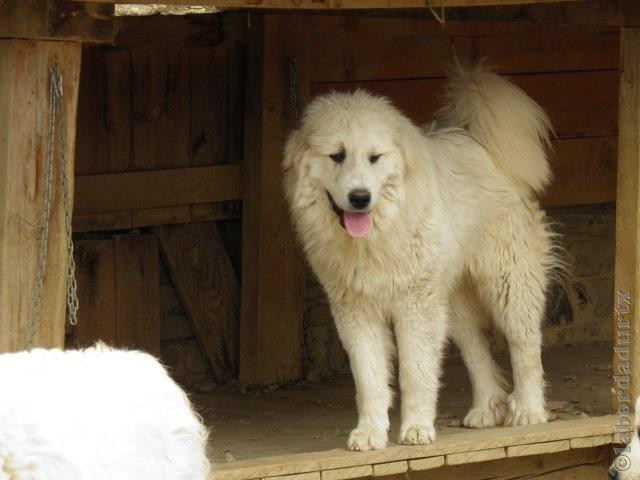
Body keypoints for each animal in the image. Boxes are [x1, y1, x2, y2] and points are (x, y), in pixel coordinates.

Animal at [284, 65, 560, 452]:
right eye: (337, 156)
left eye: (374, 157)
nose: (359, 197)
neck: (376, 236)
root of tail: (476, 141)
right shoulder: (356, 312)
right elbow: (369, 379)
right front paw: (370, 432)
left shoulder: (414, 306)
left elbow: (415, 373)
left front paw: (416, 429)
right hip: (451, 306)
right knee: (478, 353)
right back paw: (486, 409)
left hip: (507, 284)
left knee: (525, 347)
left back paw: (529, 410)